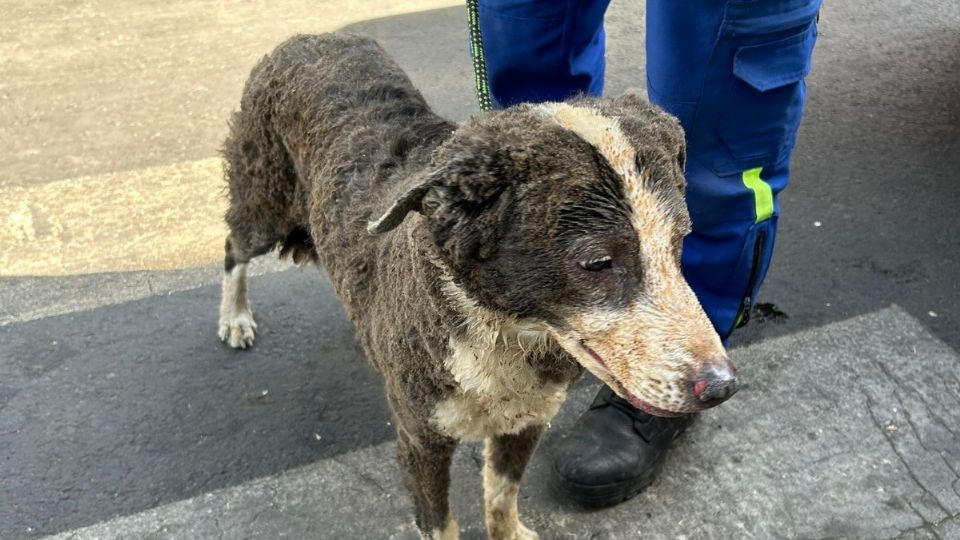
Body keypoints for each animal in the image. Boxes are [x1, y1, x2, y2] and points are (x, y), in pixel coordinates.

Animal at [218, 33, 740, 540]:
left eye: (679, 241)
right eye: (598, 261)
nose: (722, 387)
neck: (502, 327)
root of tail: (303, 40)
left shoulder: (528, 419)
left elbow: (502, 496)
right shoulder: (420, 441)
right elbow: (441, 522)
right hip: (261, 201)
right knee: (232, 247)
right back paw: (235, 318)